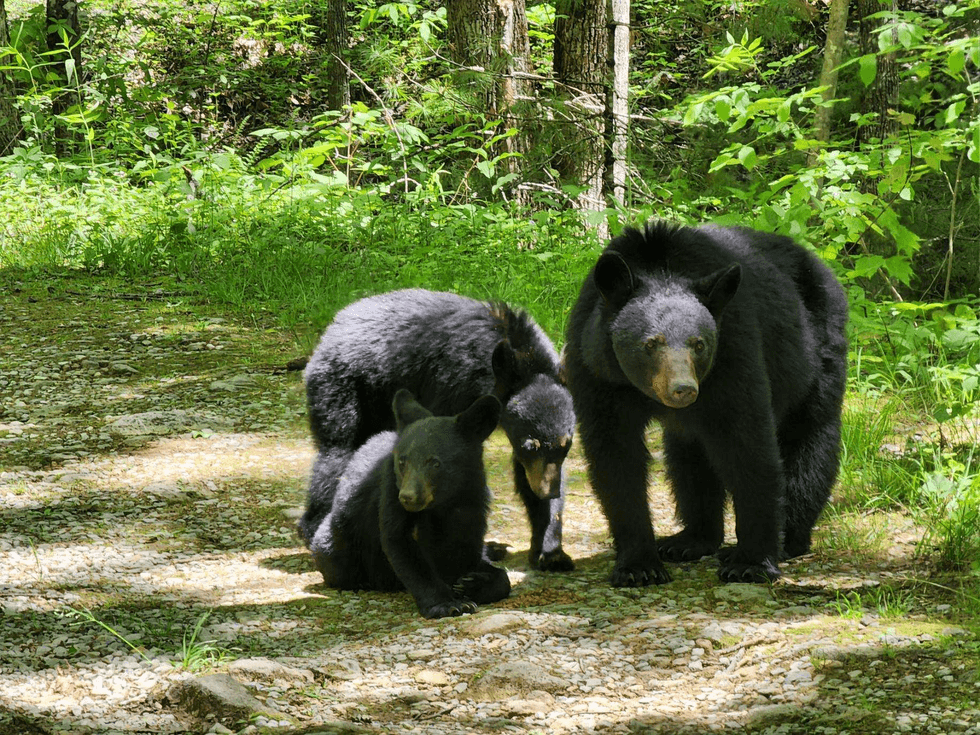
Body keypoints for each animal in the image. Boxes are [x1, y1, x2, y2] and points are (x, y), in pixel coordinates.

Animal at [299, 289, 576, 572]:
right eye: (530, 445)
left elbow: (527, 475)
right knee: (336, 454)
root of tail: (334, 325)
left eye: (566, 445)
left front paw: (550, 551)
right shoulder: (451, 386)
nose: (549, 491)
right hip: (343, 386)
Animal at [310, 389, 511, 618]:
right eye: (402, 462)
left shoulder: (473, 497)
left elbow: (468, 544)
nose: (408, 497)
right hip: (340, 543)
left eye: (435, 463)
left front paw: (472, 582)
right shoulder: (390, 489)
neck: (444, 502)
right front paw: (448, 603)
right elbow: (399, 542)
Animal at [563, 221, 848, 585]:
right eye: (651, 343)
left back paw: (789, 537)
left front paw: (750, 562)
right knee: (689, 457)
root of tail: (818, 263)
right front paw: (638, 566)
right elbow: (615, 456)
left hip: (816, 353)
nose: (683, 389)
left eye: (698, 344)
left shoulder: (732, 351)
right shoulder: (597, 371)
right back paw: (689, 541)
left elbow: (747, 444)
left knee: (810, 440)